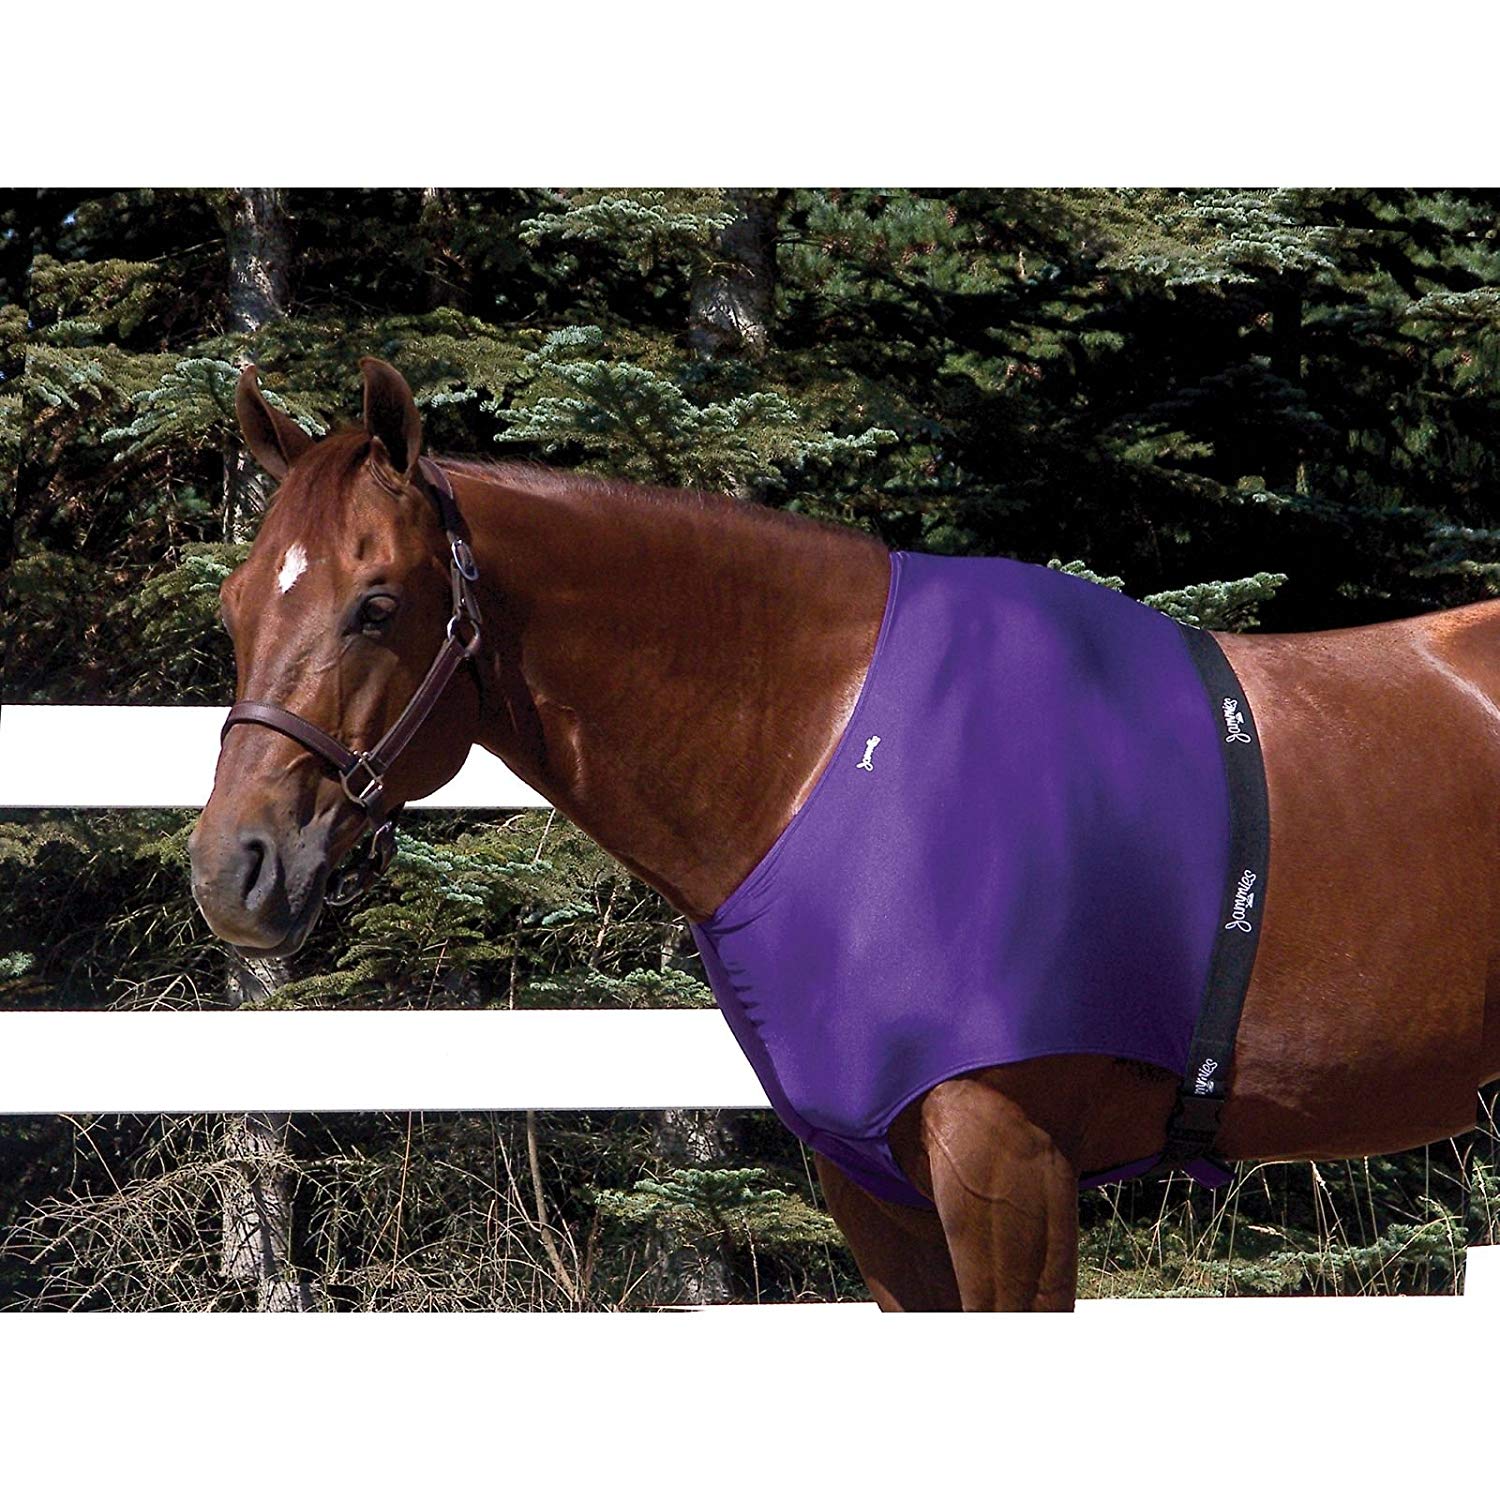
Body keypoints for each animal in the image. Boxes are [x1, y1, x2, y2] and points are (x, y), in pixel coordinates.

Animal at [189, 357, 1500, 1311]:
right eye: (237, 604)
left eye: (377, 606)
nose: (229, 870)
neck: (838, 759)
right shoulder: (879, 1190)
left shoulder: (1010, 1171)